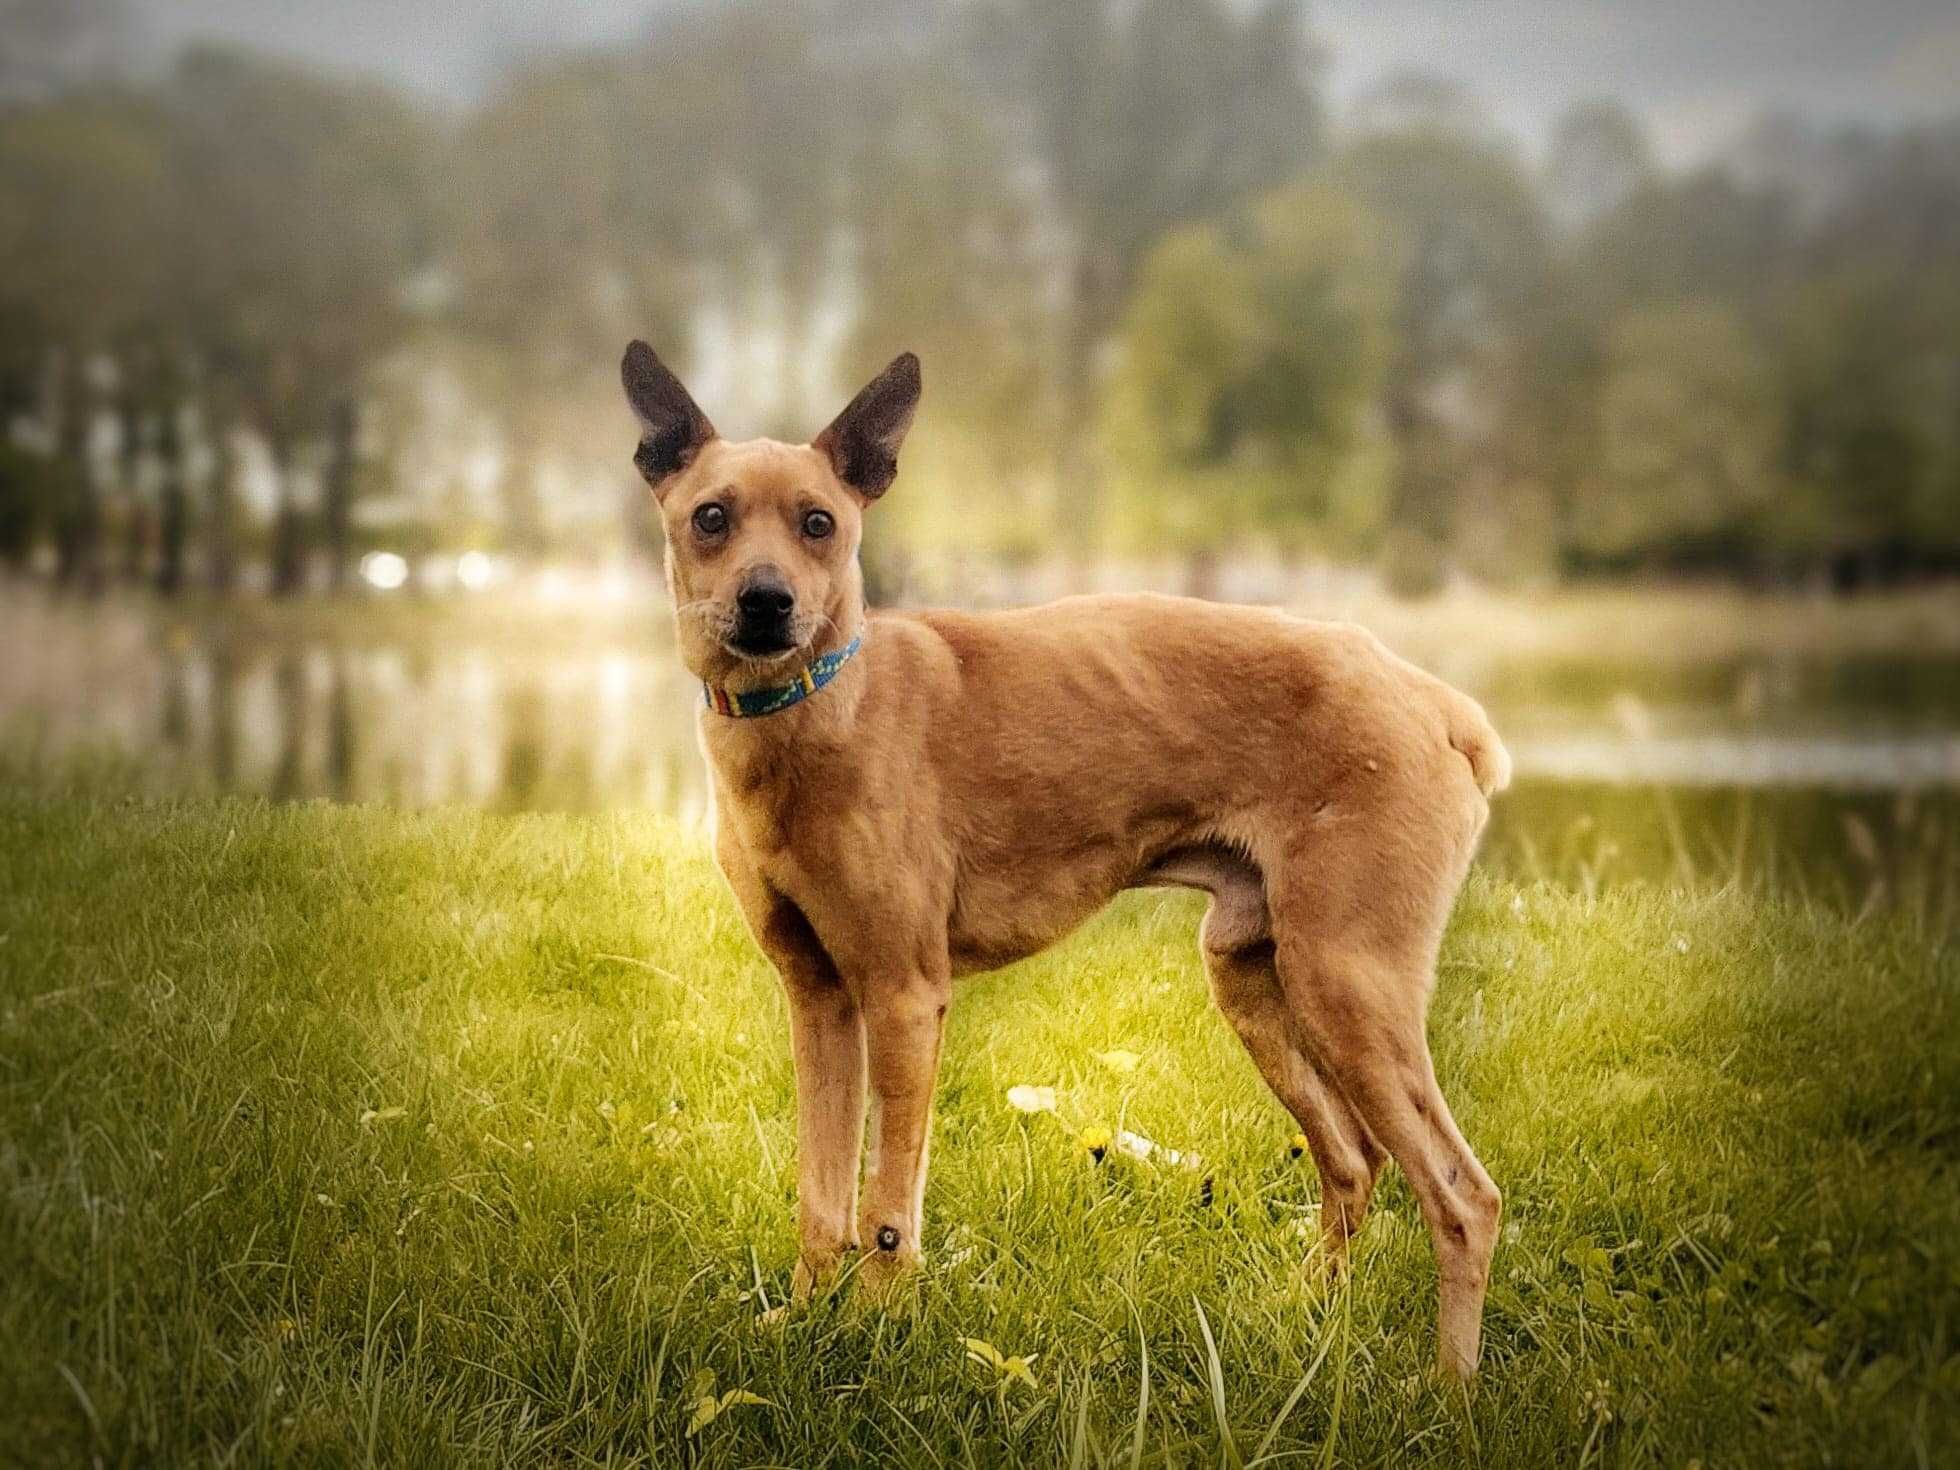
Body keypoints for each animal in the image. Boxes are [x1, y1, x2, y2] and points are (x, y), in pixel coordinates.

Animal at [619, 343, 1505, 1379]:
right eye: (711, 517)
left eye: (819, 523)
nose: (767, 603)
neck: (824, 708)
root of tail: (1435, 702)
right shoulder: (820, 999)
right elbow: (823, 1194)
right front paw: (804, 1318)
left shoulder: (903, 996)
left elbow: (885, 1208)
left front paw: (876, 1332)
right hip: (1256, 979)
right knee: (1354, 1165)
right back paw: (1299, 1318)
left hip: (1348, 987)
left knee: (1463, 1197)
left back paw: (1445, 1389)